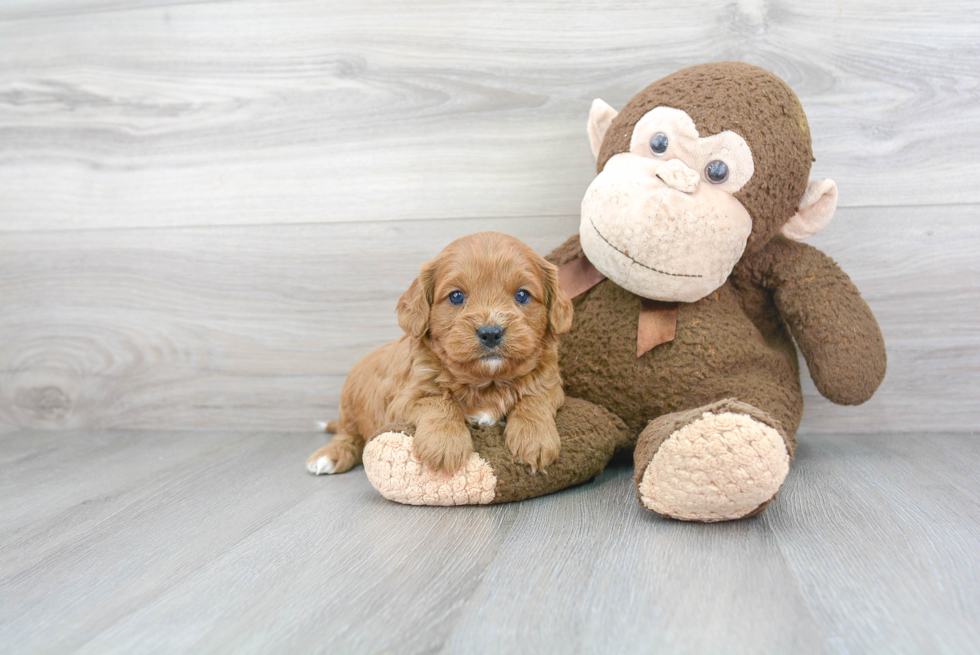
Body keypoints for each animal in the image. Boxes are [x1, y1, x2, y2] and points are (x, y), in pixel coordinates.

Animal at [302, 231, 572, 476]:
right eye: (456, 296)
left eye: (522, 295)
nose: (491, 333)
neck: (487, 383)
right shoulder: (404, 398)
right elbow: (438, 402)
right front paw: (444, 445)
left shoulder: (550, 385)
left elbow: (533, 400)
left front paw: (535, 439)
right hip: (349, 406)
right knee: (348, 436)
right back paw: (329, 456)